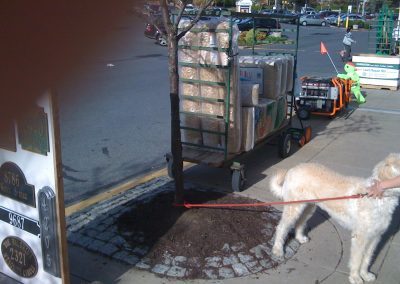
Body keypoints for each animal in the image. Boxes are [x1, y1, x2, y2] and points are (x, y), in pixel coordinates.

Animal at [268, 153, 400, 284]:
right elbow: (357, 260)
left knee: (300, 222)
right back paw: (278, 249)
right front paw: (355, 277)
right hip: (294, 207)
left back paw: (300, 238)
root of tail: (292, 169)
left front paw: (365, 275)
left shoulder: (375, 236)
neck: (379, 198)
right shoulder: (360, 237)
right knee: (281, 227)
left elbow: (367, 258)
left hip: (309, 207)